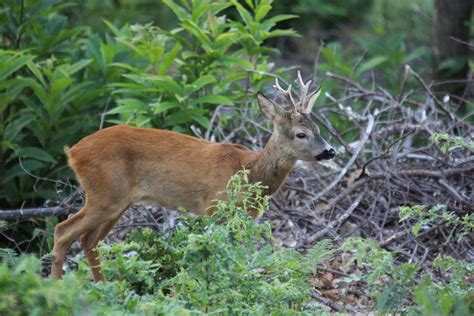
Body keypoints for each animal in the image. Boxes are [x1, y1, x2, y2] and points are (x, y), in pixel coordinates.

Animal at [50, 71, 336, 282]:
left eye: (319, 129)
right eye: (301, 134)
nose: (330, 151)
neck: (249, 172)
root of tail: (73, 152)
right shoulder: (214, 207)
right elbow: (213, 252)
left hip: (119, 202)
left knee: (88, 240)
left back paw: (103, 285)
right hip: (105, 193)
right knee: (63, 230)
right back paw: (56, 286)